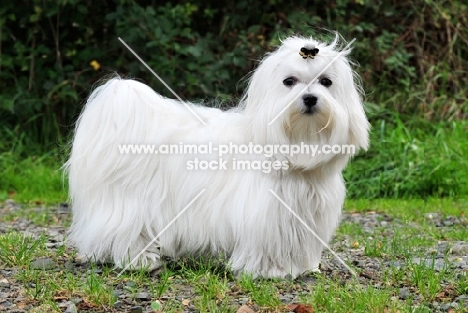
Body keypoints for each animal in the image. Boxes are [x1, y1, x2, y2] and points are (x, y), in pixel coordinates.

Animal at [65, 35, 370, 276]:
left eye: (326, 82)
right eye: (289, 81)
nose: (309, 98)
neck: (297, 148)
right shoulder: (265, 214)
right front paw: (270, 271)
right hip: (129, 204)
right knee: (123, 232)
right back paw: (139, 260)